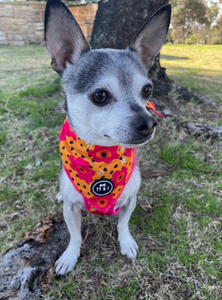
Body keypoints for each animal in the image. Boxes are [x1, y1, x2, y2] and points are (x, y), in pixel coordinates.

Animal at [44, 0, 171, 276]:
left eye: (147, 90)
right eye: (100, 95)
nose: (148, 123)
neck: (102, 156)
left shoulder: (130, 200)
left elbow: (123, 223)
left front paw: (126, 243)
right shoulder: (71, 209)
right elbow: (75, 235)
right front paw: (70, 256)